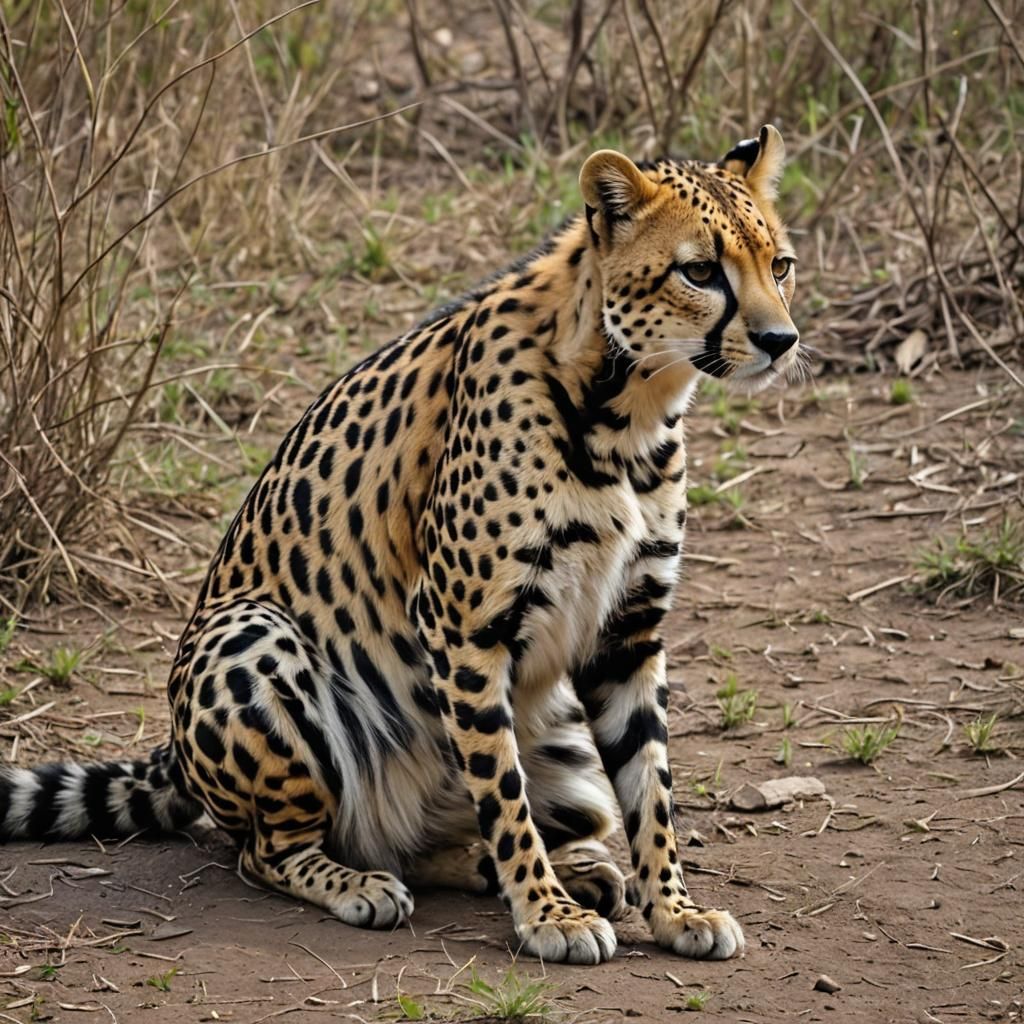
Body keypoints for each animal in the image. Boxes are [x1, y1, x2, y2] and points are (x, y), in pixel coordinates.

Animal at [1, 126, 800, 965]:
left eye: (779, 265)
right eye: (701, 271)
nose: (781, 340)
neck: (629, 408)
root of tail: (174, 757)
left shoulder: (628, 631)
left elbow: (651, 790)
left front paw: (674, 909)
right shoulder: (461, 624)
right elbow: (503, 792)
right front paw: (546, 914)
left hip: (570, 765)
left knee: (437, 835)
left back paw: (551, 870)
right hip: (252, 635)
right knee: (269, 849)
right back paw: (368, 884)